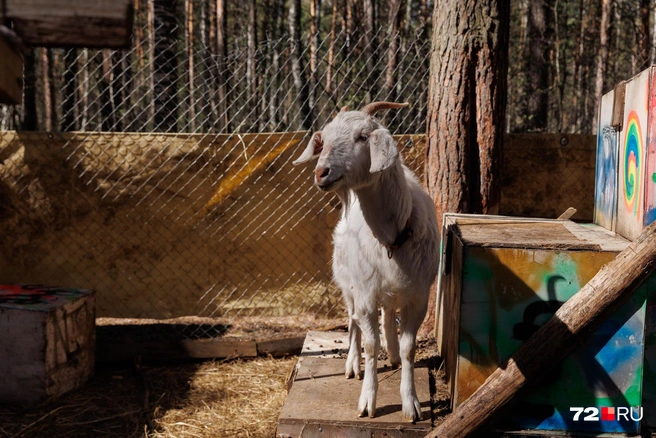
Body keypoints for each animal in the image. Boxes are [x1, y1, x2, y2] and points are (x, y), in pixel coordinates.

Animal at [293, 102, 439, 422]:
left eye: (362, 136)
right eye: (324, 139)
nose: (321, 173)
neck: (392, 235)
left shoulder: (419, 295)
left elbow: (410, 348)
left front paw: (411, 402)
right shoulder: (365, 294)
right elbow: (371, 345)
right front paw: (368, 400)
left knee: (387, 316)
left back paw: (392, 353)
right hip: (348, 283)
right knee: (353, 322)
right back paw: (352, 364)